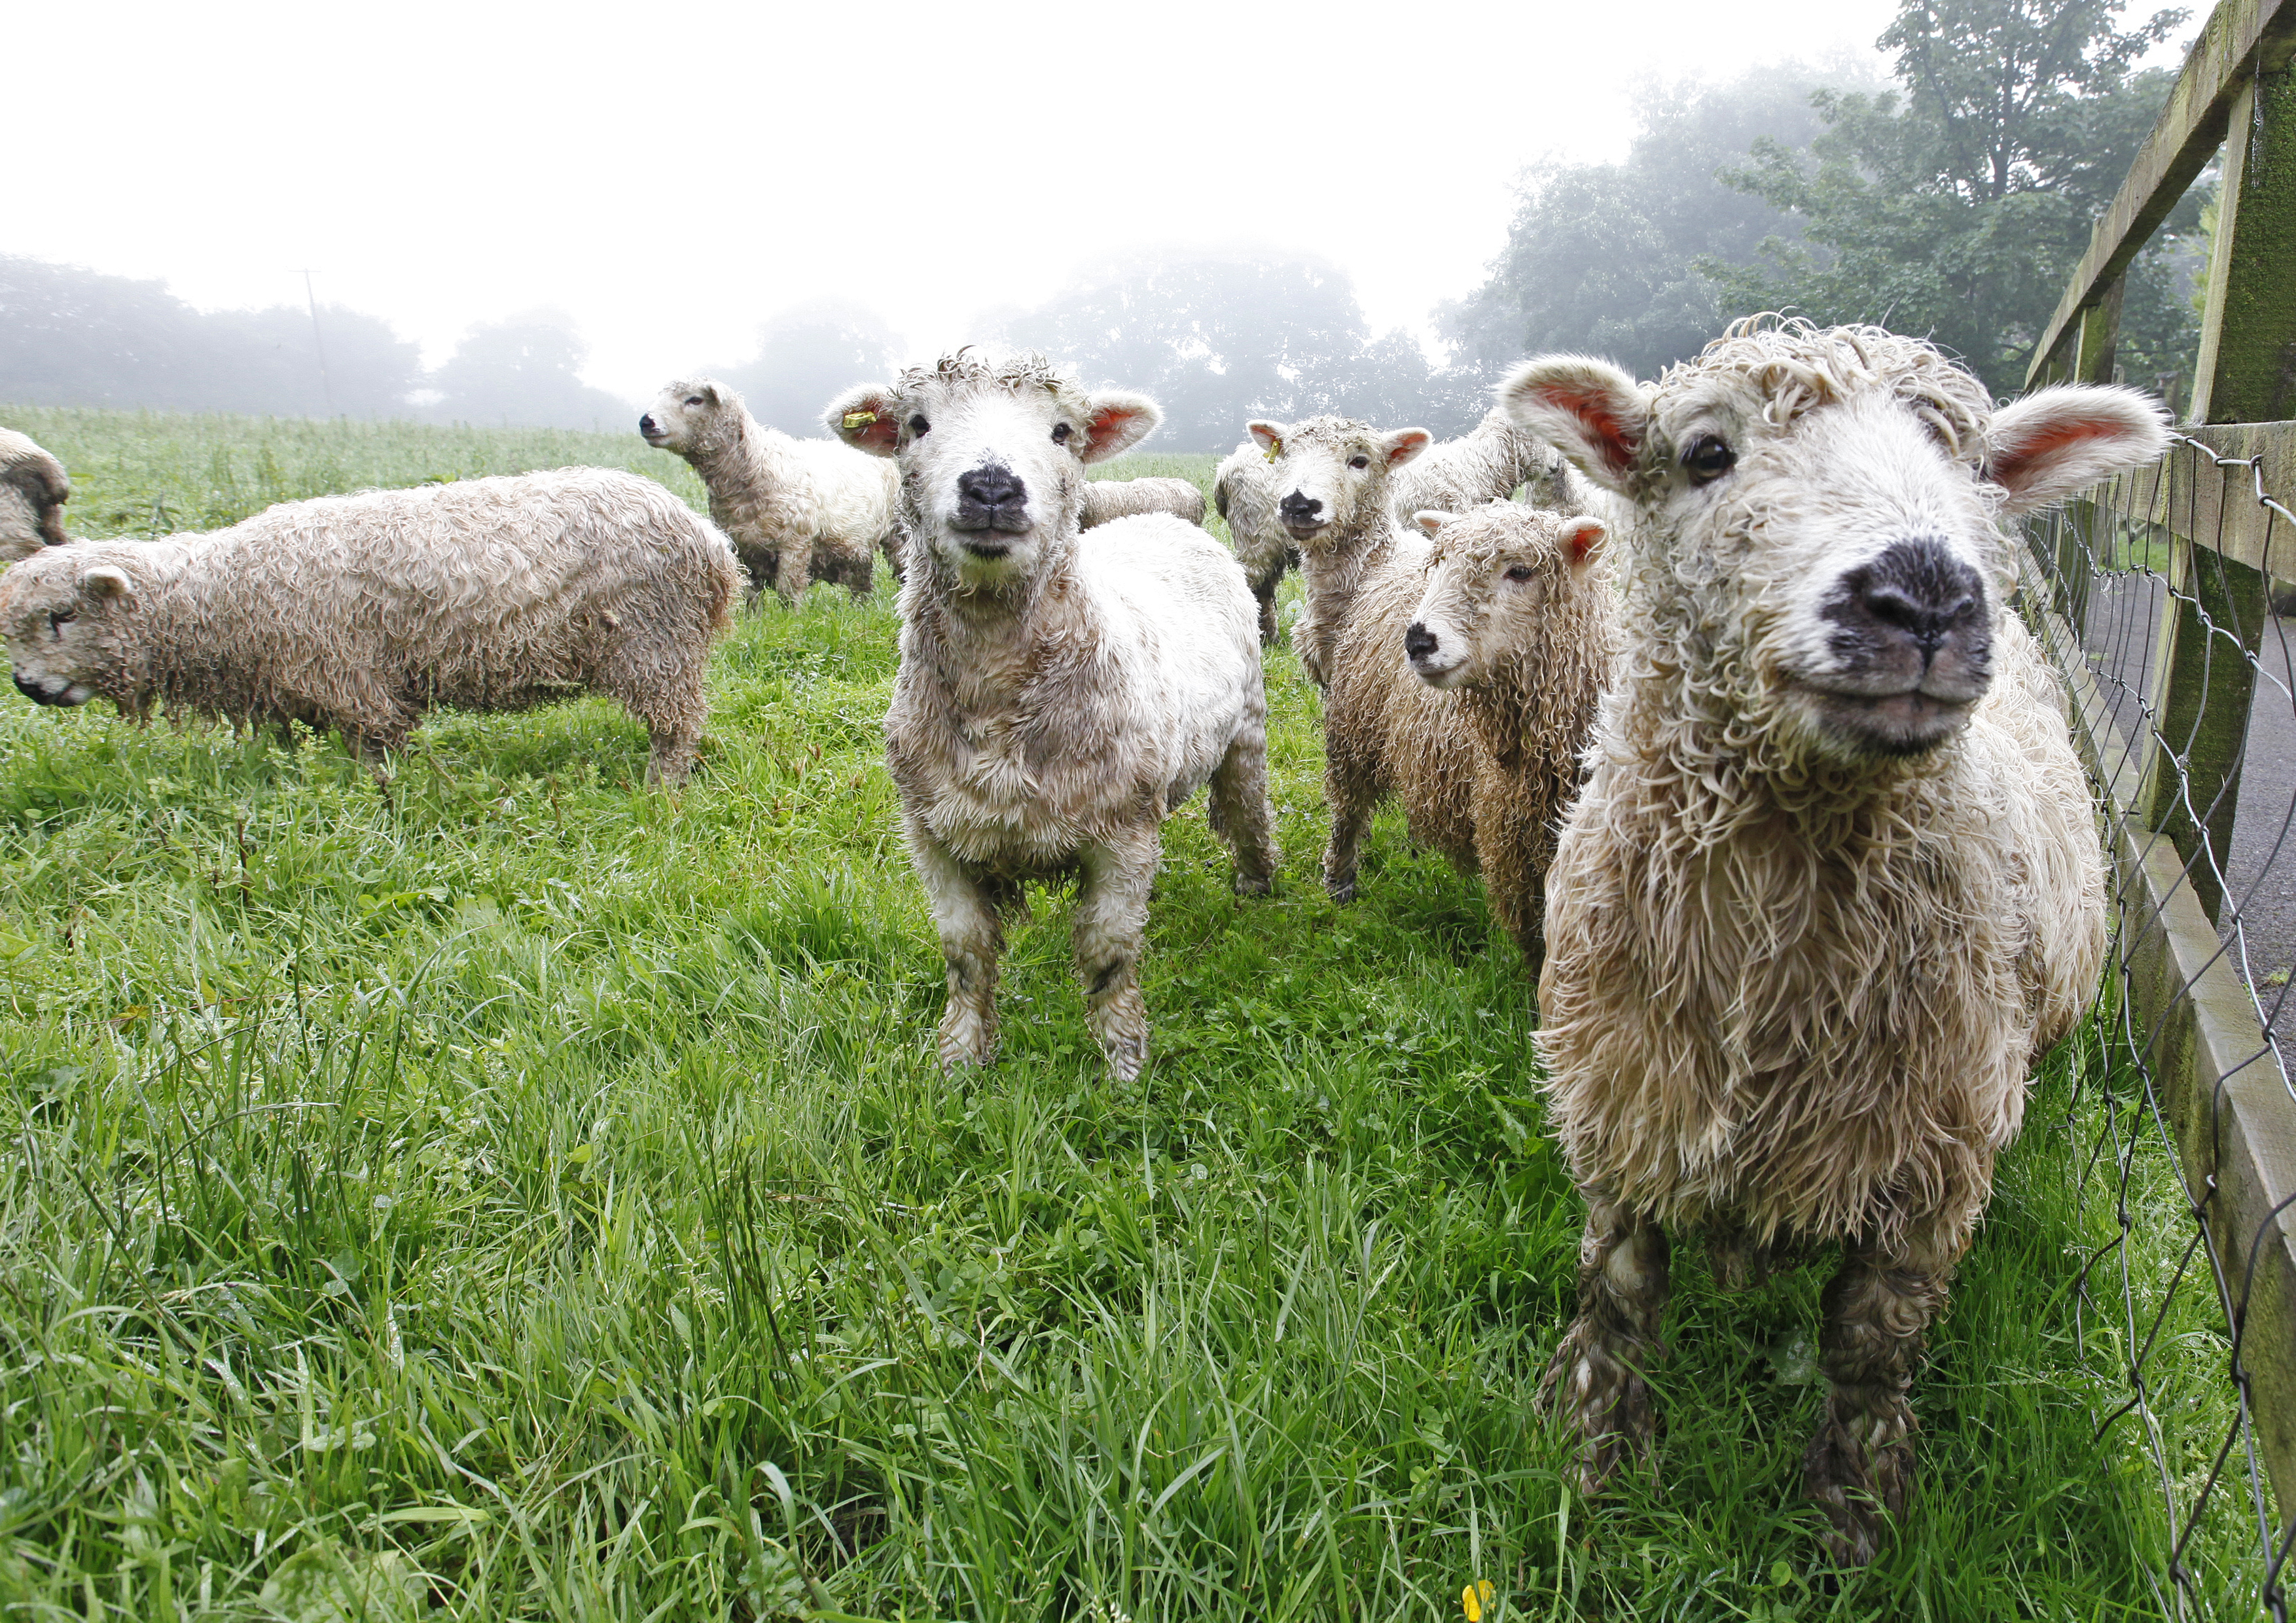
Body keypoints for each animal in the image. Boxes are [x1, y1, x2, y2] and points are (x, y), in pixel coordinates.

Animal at [0, 468, 741, 786]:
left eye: (63, 617)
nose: (27, 686)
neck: (220, 594)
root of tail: (709, 542)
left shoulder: (351, 680)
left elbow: (377, 753)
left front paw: (378, 799)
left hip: (653, 644)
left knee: (676, 727)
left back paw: (660, 787)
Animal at [640, 377, 901, 605]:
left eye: (695, 400)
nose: (646, 422)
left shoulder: (795, 543)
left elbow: (789, 592)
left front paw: (793, 620)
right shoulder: (742, 548)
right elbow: (751, 596)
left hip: (897, 534)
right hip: (858, 545)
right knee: (862, 584)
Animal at [1319, 502, 1618, 970]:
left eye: (1521, 571)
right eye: (1442, 564)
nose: (1418, 640)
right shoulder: (1514, 847)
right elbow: (1535, 940)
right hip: (1354, 728)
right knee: (1348, 809)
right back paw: (1339, 881)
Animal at [1502, 319, 2165, 1563]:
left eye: (1977, 467)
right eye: (1706, 454)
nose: (1925, 593)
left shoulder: (1931, 1164)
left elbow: (1869, 1347)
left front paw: (1854, 1526)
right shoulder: (1621, 1100)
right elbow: (1617, 1292)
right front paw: (1592, 1457)